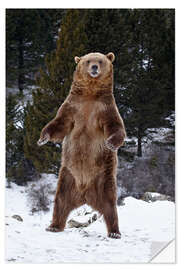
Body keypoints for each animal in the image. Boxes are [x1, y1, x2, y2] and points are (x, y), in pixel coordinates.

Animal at [37, 51, 126, 237]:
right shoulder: (72, 107)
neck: (90, 94)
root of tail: (85, 195)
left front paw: (111, 143)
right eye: (87, 61)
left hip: (104, 177)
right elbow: (59, 124)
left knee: (110, 206)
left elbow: (115, 126)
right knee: (60, 201)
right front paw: (42, 138)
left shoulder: (105, 109)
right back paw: (54, 225)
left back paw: (114, 232)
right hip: (67, 176)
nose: (94, 67)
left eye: (100, 60)